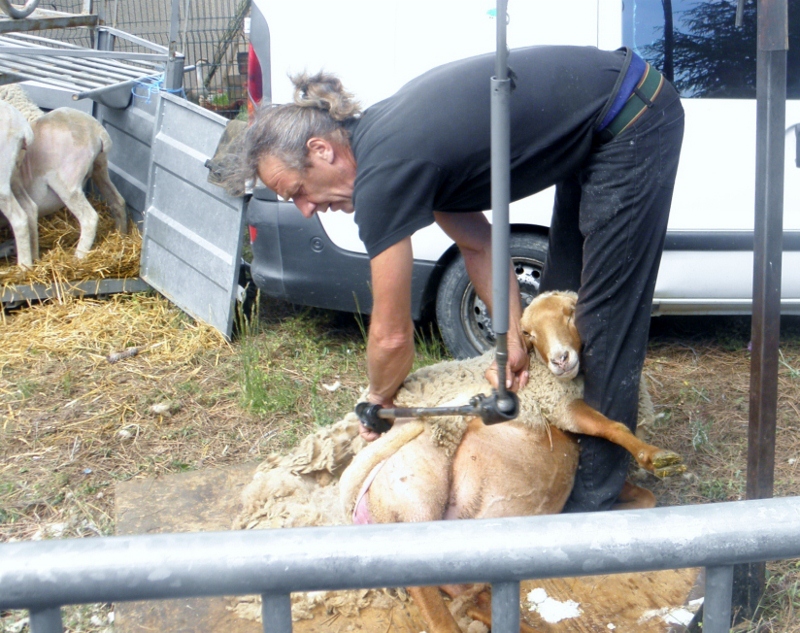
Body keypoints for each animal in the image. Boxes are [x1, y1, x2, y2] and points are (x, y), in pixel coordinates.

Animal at [0, 82, 127, 266]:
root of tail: (98, 131)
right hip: (100, 167)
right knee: (118, 201)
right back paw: (121, 238)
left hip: (67, 182)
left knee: (89, 218)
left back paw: (76, 258)